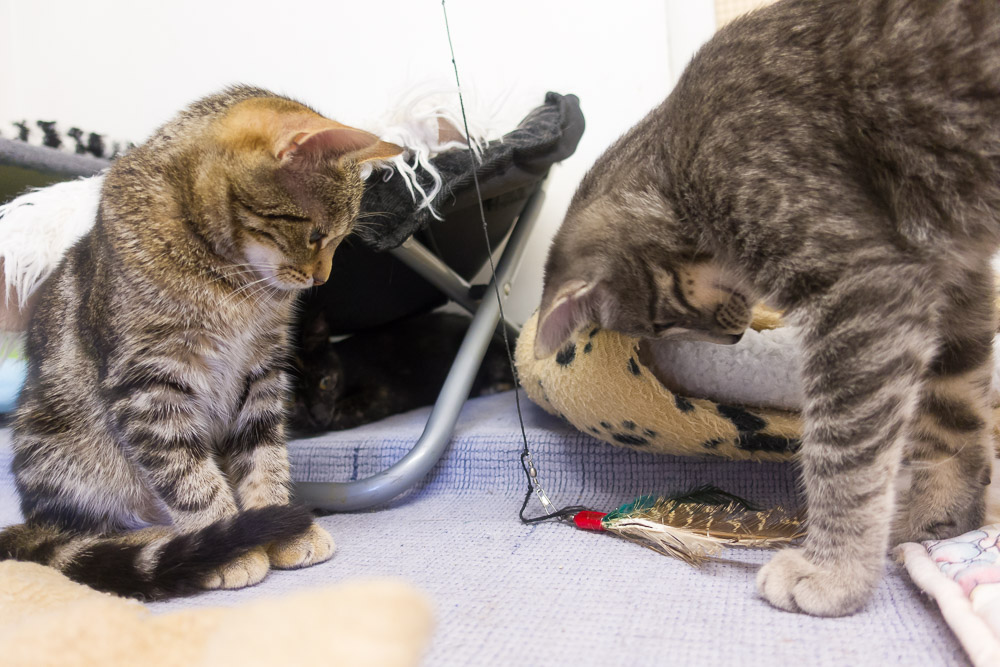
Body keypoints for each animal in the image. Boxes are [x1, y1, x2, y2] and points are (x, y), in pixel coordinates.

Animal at [0, 85, 398, 600]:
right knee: (82, 532)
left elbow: (264, 457)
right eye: (316, 235)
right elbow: (189, 476)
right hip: (60, 453)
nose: (322, 278)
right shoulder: (149, 384)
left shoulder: (262, 372)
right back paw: (160, 540)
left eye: (339, 240)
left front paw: (283, 527)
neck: (233, 281)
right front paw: (229, 547)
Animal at [536, 0, 1000, 620]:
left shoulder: (862, 286)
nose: (732, 341)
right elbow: (952, 421)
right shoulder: (957, 279)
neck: (680, 153)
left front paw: (834, 570)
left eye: (664, 321)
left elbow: (845, 453)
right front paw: (938, 525)